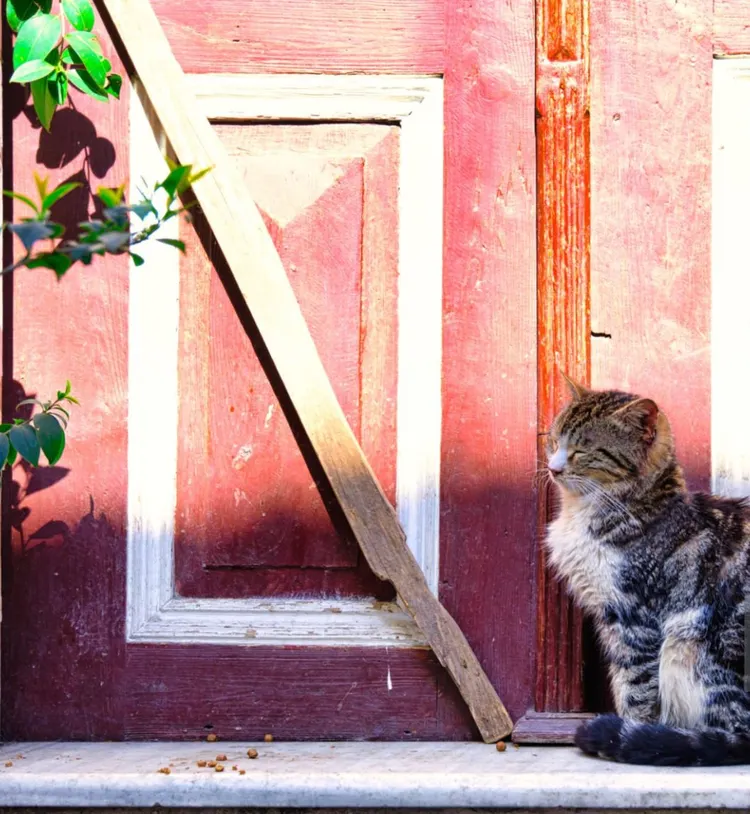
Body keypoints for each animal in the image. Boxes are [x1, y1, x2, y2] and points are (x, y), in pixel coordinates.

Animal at [548, 380, 750, 768]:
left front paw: (631, 732)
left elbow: (636, 688)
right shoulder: (609, 617)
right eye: (552, 440)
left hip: (693, 643)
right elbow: (622, 682)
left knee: (736, 733)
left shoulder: (634, 619)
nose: (553, 468)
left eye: (582, 450)